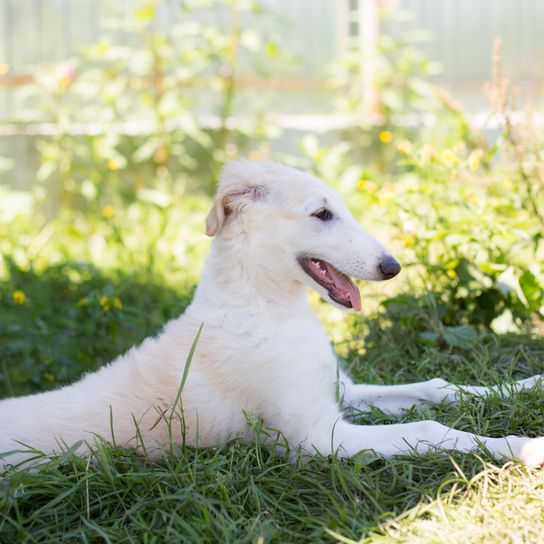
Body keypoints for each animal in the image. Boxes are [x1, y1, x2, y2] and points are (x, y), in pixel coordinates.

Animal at [1, 159, 544, 470]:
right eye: (322, 214)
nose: (392, 267)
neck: (267, 310)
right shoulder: (316, 439)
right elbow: (432, 428)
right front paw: (523, 447)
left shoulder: (340, 393)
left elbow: (438, 388)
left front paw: (528, 384)